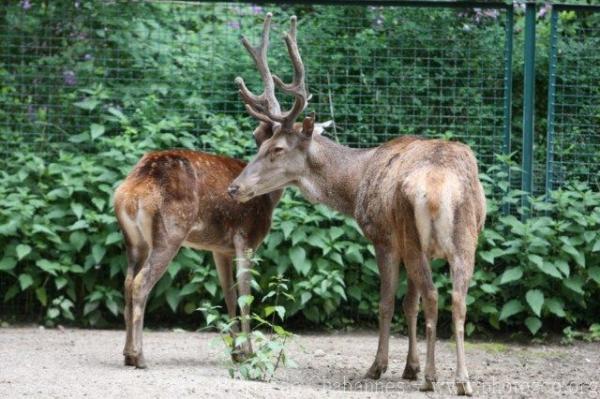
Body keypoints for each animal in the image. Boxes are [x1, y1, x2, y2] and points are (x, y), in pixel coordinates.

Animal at [227, 12, 486, 396]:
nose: (235, 188)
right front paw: (409, 367)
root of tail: (440, 188)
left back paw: (432, 377)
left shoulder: (383, 238)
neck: (356, 184)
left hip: (412, 235)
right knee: (457, 298)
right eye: (260, 142)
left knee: (434, 296)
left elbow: (387, 303)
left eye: (277, 149)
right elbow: (409, 303)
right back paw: (462, 379)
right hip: (466, 238)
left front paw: (380, 367)